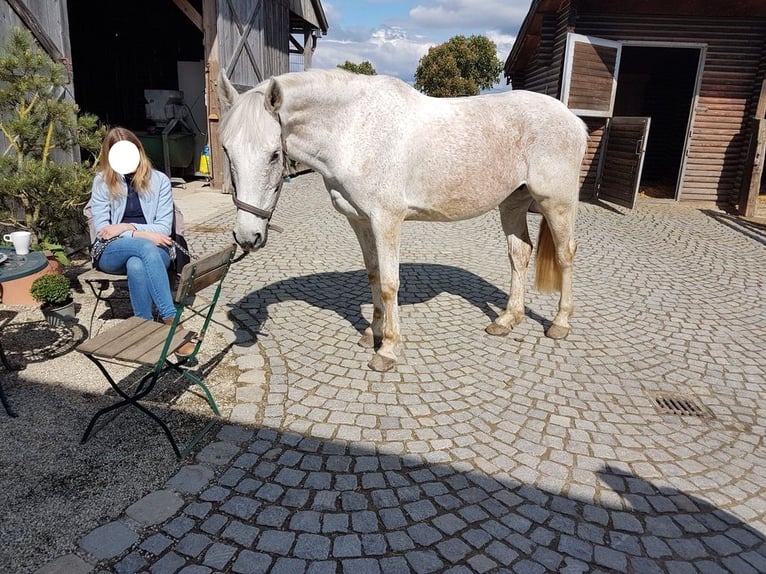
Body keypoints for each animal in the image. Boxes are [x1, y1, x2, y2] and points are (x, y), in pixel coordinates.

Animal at [219, 70, 592, 374]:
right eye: (226, 151)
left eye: (274, 155)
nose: (247, 236)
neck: (354, 129)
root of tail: (574, 121)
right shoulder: (360, 220)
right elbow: (373, 276)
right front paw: (372, 333)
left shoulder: (387, 219)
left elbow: (388, 283)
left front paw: (387, 350)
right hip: (512, 203)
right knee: (520, 254)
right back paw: (507, 320)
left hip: (556, 203)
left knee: (565, 254)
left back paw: (560, 323)